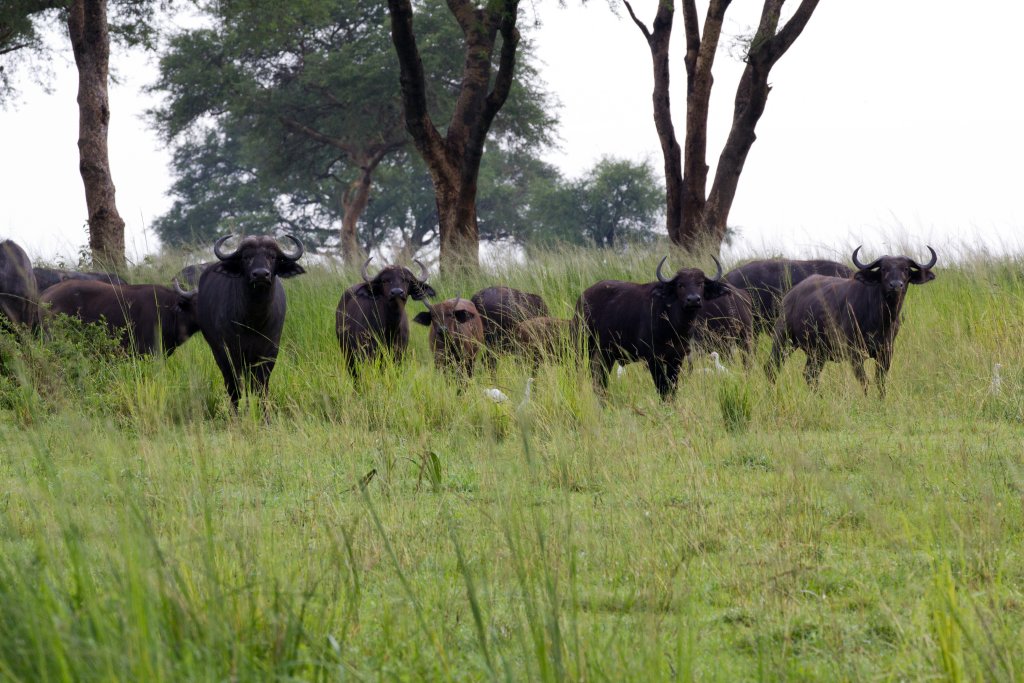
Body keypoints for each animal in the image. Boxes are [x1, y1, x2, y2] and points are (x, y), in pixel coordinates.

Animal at [196, 234, 305, 408]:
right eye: (246, 257)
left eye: (272, 256)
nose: (260, 275)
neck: (253, 320)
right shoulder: (229, 351)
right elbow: (234, 388)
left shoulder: (269, 352)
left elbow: (261, 387)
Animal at [575, 256, 731, 399]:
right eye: (680, 285)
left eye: (701, 283)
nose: (693, 300)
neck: (673, 325)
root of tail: (582, 298)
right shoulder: (653, 359)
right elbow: (662, 388)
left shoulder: (677, 357)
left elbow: (672, 388)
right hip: (584, 348)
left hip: (606, 354)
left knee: (599, 381)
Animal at [766, 246, 937, 396]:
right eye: (884, 269)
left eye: (906, 269)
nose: (896, 285)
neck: (881, 319)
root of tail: (790, 296)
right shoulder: (855, 354)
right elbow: (864, 381)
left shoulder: (886, 353)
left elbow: (880, 381)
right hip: (782, 339)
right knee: (771, 368)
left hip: (817, 353)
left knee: (810, 374)